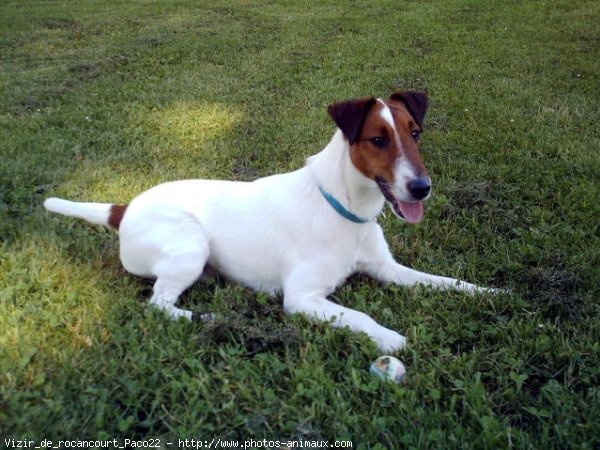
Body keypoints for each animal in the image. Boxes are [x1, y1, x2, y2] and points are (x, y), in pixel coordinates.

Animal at [43, 91, 496, 352]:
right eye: (379, 140)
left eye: (415, 133)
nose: (422, 188)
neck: (345, 210)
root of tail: (124, 208)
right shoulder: (303, 297)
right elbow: (360, 317)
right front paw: (392, 338)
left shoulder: (388, 268)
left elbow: (446, 282)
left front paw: (491, 293)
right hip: (189, 244)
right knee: (158, 305)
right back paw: (205, 317)